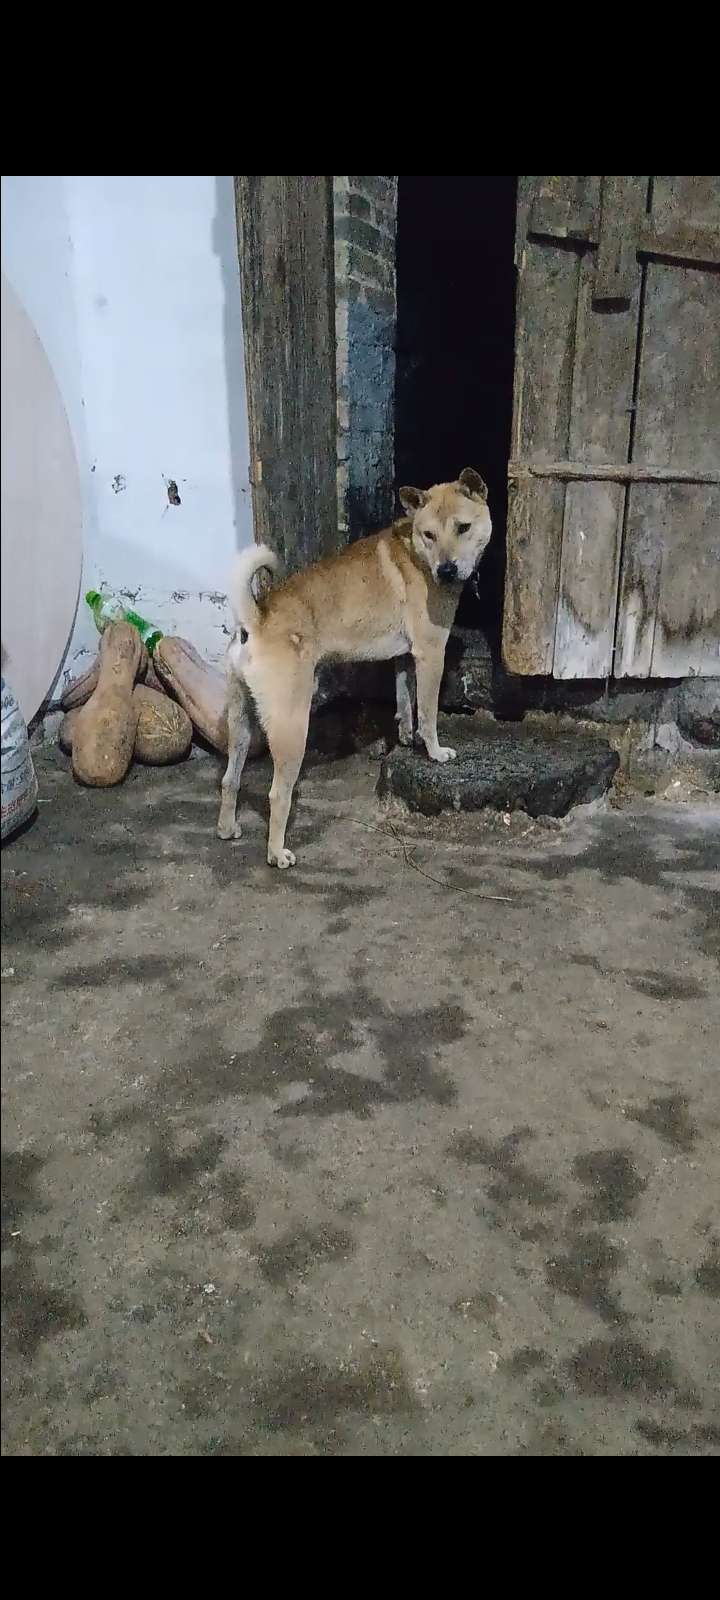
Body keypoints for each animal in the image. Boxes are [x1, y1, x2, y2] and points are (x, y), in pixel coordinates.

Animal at [217, 468, 492, 867]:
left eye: (463, 527)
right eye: (430, 535)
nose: (446, 570)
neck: (416, 554)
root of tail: (256, 618)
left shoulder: (404, 657)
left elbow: (404, 700)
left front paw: (406, 736)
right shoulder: (430, 653)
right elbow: (428, 712)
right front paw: (435, 751)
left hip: (240, 723)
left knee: (229, 778)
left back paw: (226, 828)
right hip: (292, 726)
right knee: (277, 794)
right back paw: (277, 853)